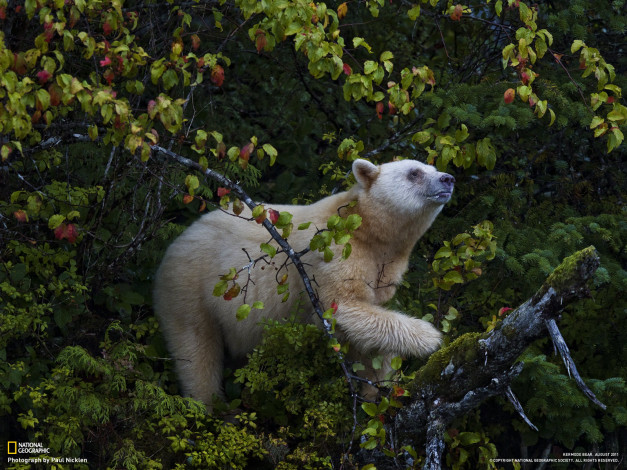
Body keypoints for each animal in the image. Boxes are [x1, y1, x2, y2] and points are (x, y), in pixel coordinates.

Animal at [153, 159, 456, 408]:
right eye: (414, 172)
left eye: (432, 167)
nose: (448, 178)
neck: (366, 228)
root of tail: (175, 244)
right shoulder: (334, 252)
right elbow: (343, 306)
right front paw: (430, 337)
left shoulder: (384, 268)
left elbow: (369, 330)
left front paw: (377, 388)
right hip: (190, 287)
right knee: (196, 350)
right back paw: (210, 406)